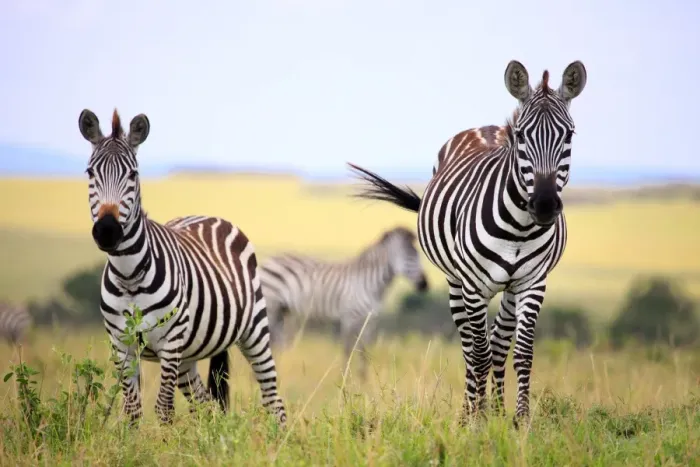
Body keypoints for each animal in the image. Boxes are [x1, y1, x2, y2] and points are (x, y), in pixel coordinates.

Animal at [78, 109, 287, 426]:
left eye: (133, 174)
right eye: (90, 173)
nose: (107, 231)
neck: (129, 275)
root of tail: (210, 216)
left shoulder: (170, 340)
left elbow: (164, 409)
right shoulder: (121, 345)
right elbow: (132, 410)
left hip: (254, 329)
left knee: (273, 398)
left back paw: (280, 435)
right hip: (188, 357)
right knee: (207, 407)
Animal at [259, 226, 429, 380]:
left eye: (419, 255)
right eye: (410, 256)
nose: (425, 285)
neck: (372, 284)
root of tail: (268, 261)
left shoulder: (370, 321)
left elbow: (364, 351)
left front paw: (363, 380)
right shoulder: (349, 317)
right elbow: (347, 349)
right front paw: (344, 379)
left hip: (283, 309)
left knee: (278, 342)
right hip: (271, 306)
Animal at [347, 60, 587, 427]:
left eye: (569, 135)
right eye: (521, 135)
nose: (545, 205)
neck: (519, 228)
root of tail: (483, 128)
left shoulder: (533, 283)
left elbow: (521, 352)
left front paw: (519, 421)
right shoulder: (474, 286)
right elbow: (478, 353)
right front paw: (477, 420)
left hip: (510, 289)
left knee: (499, 343)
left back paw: (499, 410)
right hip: (455, 282)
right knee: (470, 347)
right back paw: (470, 412)